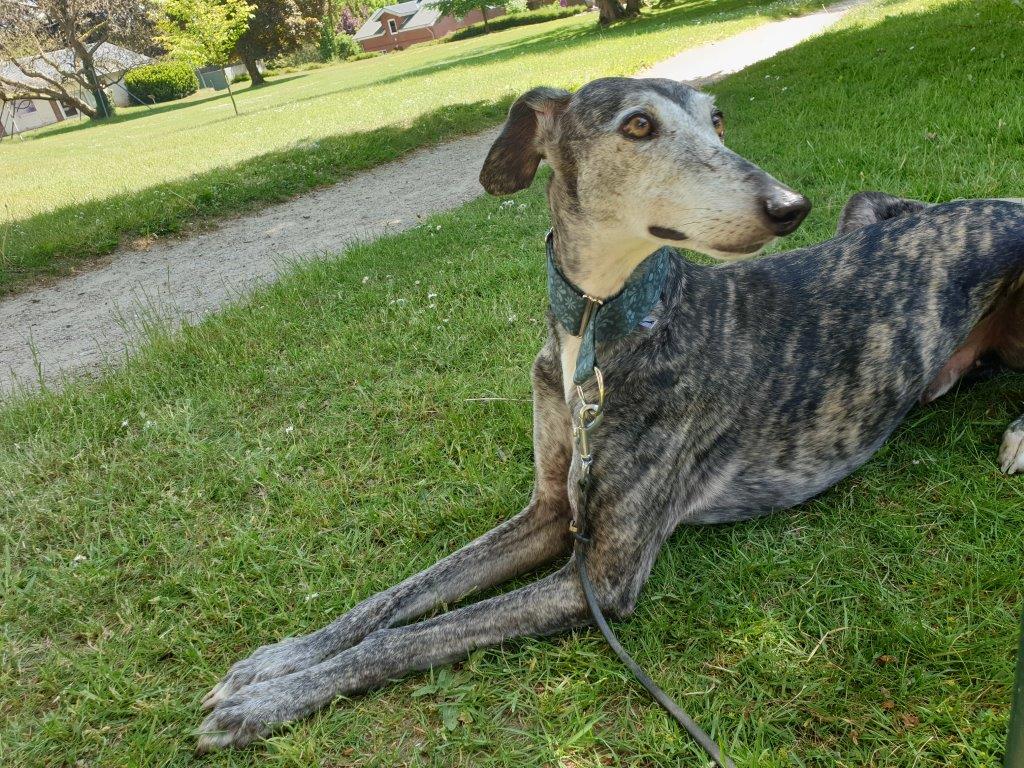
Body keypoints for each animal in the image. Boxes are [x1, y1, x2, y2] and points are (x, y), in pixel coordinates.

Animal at [196, 77, 1024, 752]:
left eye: (717, 118)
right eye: (638, 126)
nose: (790, 207)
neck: (599, 329)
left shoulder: (600, 575)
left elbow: (406, 637)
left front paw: (268, 704)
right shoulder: (549, 512)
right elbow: (396, 599)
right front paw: (277, 661)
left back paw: (1017, 438)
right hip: (866, 210)